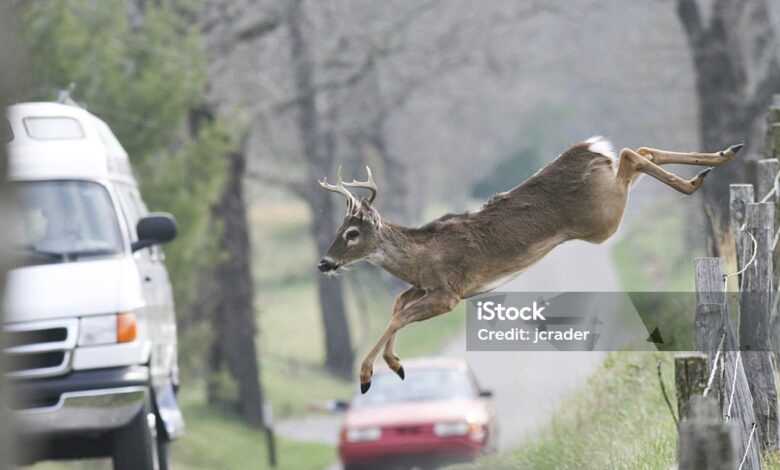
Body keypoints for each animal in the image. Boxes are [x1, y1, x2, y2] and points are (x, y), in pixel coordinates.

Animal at [318, 137, 744, 392]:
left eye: (351, 233)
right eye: (338, 229)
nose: (324, 263)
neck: (420, 256)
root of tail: (590, 149)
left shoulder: (449, 293)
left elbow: (398, 315)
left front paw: (368, 375)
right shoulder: (426, 288)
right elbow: (397, 306)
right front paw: (395, 363)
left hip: (603, 219)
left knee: (630, 154)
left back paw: (699, 177)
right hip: (608, 203)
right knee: (639, 151)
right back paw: (722, 156)